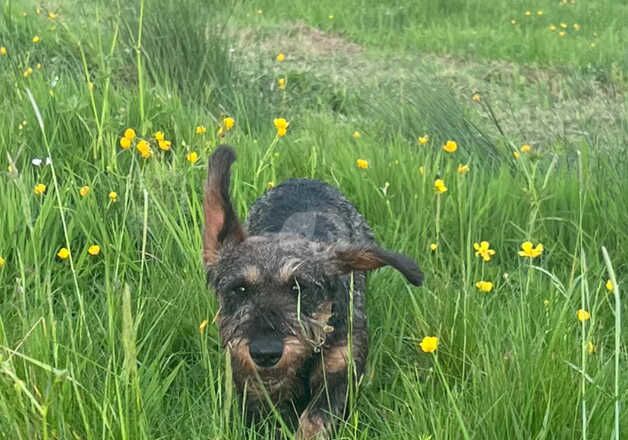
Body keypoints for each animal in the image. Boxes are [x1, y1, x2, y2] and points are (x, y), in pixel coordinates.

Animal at [204, 145, 424, 436]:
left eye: (300, 288)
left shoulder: (341, 370)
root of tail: (304, 180)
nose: (265, 353)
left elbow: (315, 419)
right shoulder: (249, 381)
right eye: (239, 289)